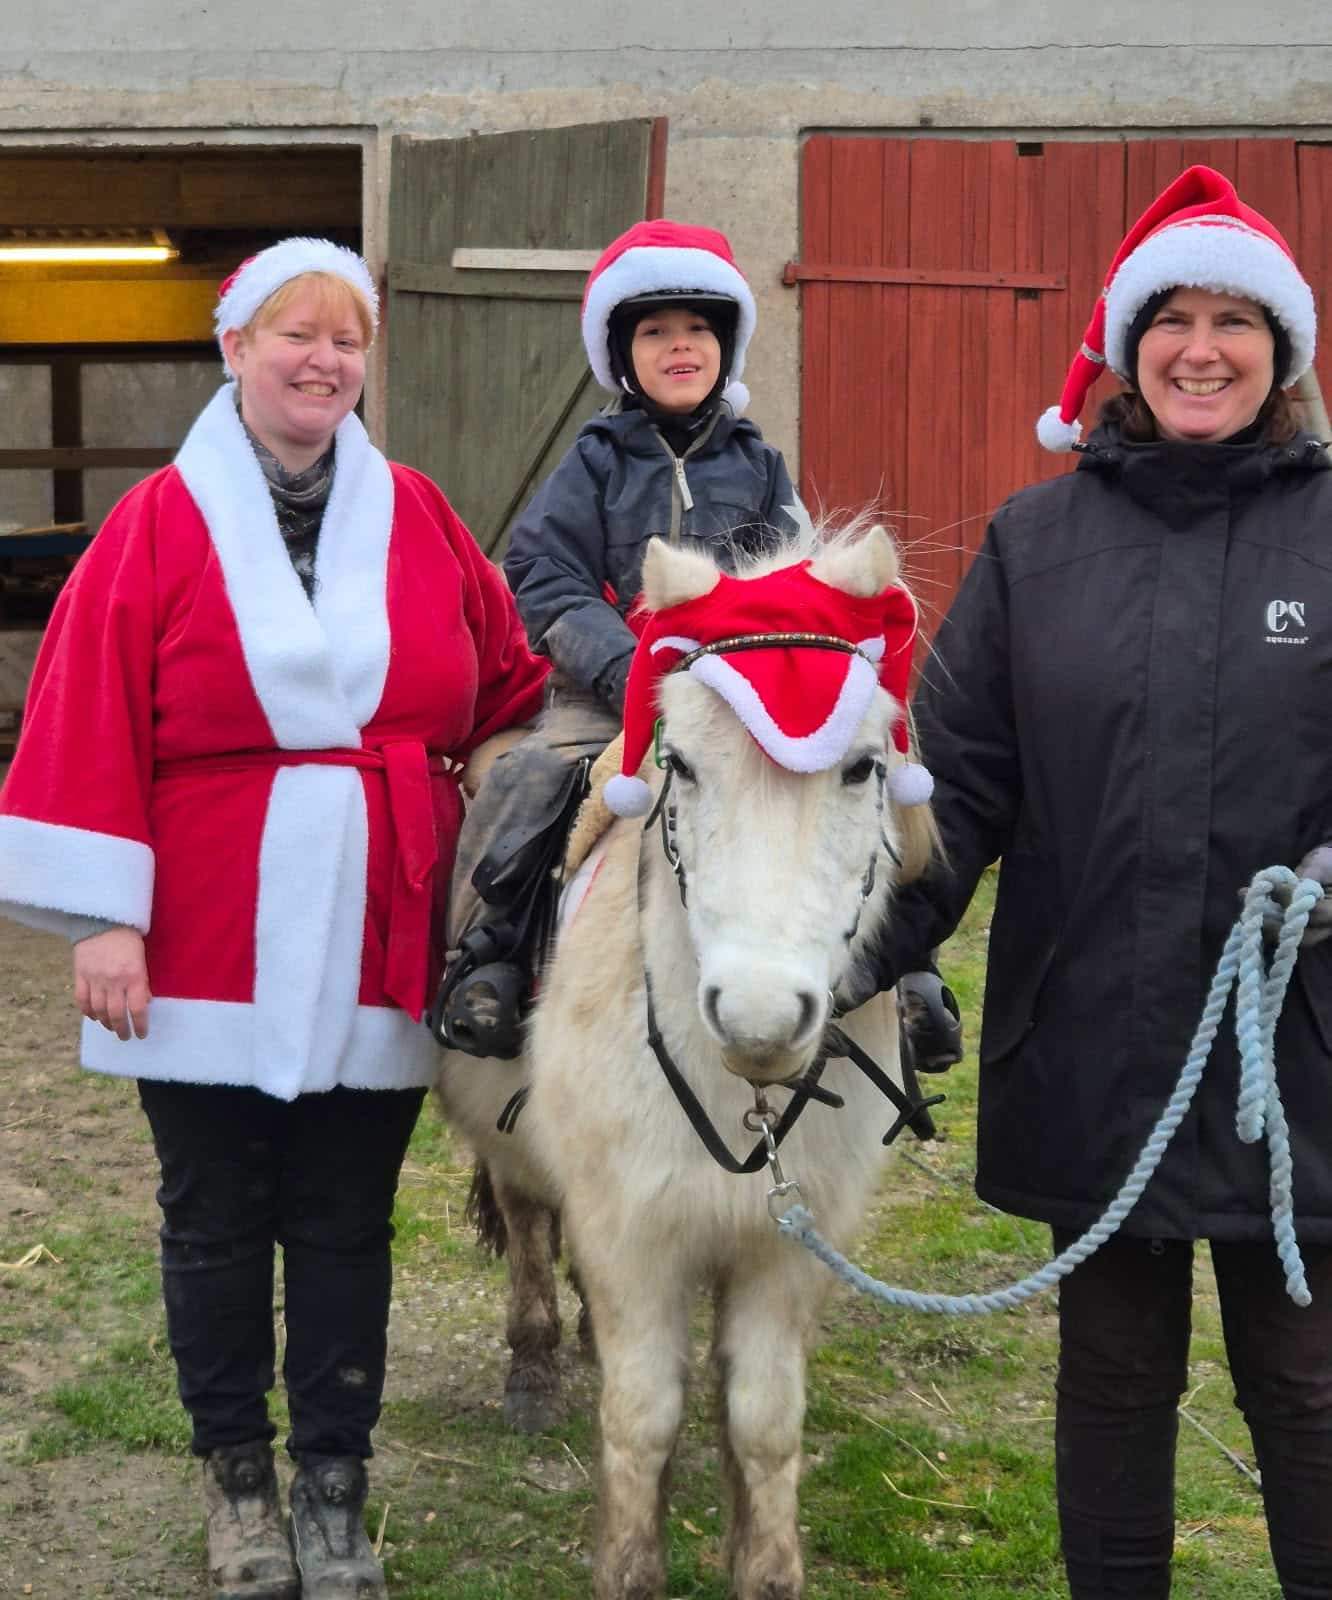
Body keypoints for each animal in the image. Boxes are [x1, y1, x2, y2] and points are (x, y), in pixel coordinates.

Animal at [436, 521, 935, 1600]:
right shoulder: (634, 1232)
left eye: (862, 767)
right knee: (530, 1226)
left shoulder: (784, 1246)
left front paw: (764, 1568)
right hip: (509, 1135)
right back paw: (536, 1368)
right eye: (685, 767)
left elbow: (762, 1422)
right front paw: (630, 1567)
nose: (759, 1017)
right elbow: (642, 1421)